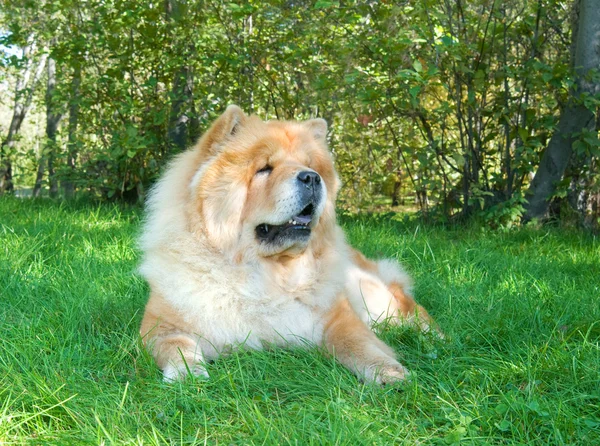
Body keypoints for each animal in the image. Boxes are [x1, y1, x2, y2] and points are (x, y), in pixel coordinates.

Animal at [141, 104, 440, 384]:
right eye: (264, 168)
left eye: (312, 167)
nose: (311, 177)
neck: (268, 274)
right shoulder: (161, 324)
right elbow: (177, 344)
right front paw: (187, 374)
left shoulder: (338, 318)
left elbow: (358, 342)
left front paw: (390, 373)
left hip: (373, 294)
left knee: (410, 307)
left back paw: (434, 338)